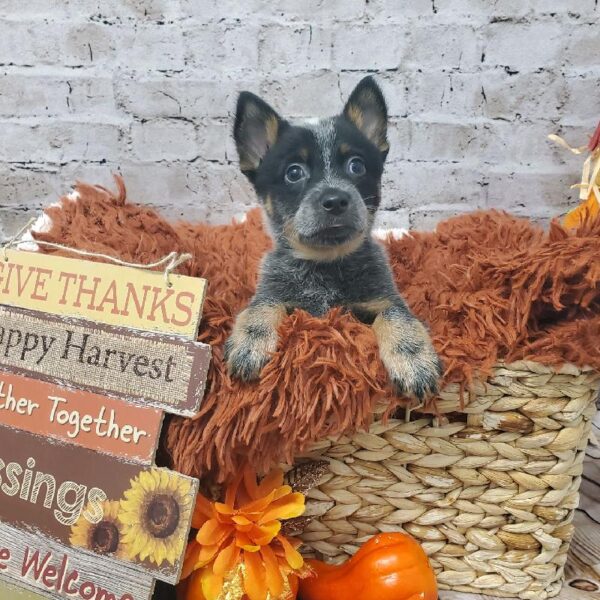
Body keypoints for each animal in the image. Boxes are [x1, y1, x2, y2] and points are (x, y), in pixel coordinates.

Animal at [223, 77, 442, 400]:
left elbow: (396, 315)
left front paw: (413, 358)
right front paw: (250, 341)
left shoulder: (381, 299)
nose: (336, 200)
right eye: (293, 172)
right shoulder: (278, 294)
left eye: (356, 165)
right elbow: (260, 306)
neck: (325, 266)